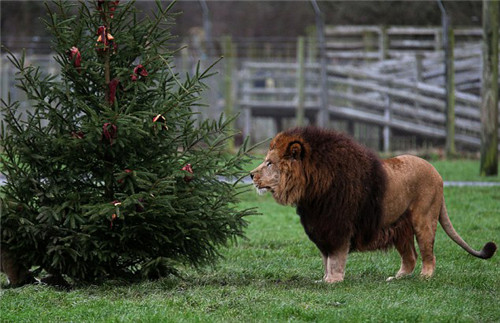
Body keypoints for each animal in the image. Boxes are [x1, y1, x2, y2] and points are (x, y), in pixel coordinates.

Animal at [250, 126, 496, 284]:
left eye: (269, 163)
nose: (251, 174)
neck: (311, 189)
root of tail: (437, 172)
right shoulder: (321, 228)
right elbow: (326, 259)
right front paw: (324, 278)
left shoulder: (337, 228)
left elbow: (335, 259)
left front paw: (333, 281)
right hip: (401, 228)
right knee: (411, 257)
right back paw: (397, 277)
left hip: (424, 220)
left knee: (428, 254)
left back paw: (425, 277)